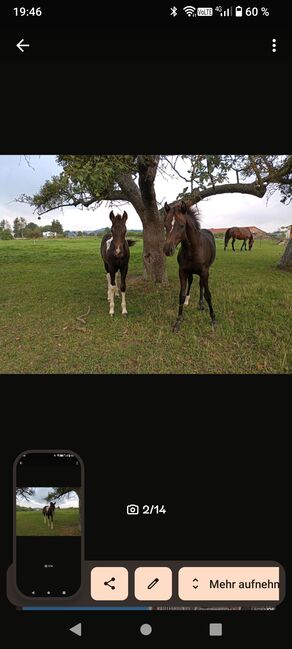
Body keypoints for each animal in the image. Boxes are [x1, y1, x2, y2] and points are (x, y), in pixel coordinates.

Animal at [164, 200, 217, 332]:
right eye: (165, 225)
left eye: (182, 225)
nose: (167, 250)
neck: (193, 249)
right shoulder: (182, 271)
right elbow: (181, 295)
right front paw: (178, 321)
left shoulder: (205, 272)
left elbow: (208, 294)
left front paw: (213, 319)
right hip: (190, 272)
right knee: (192, 281)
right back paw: (190, 301)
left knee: (201, 284)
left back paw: (201, 304)